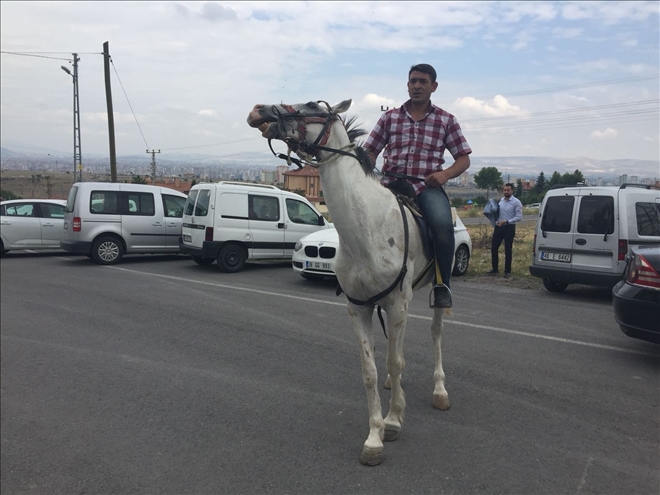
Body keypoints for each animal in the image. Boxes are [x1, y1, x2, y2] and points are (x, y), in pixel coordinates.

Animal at [250, 100, 452, 464]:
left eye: (311, 106)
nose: (260, 111)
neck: (365, 228)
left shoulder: (396, 303)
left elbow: (396, 361)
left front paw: (393, 420)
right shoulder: (360, 307)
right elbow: (370, 369)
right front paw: (374, 437)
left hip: (435, 292)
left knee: (435, 333)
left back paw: (440, 390)